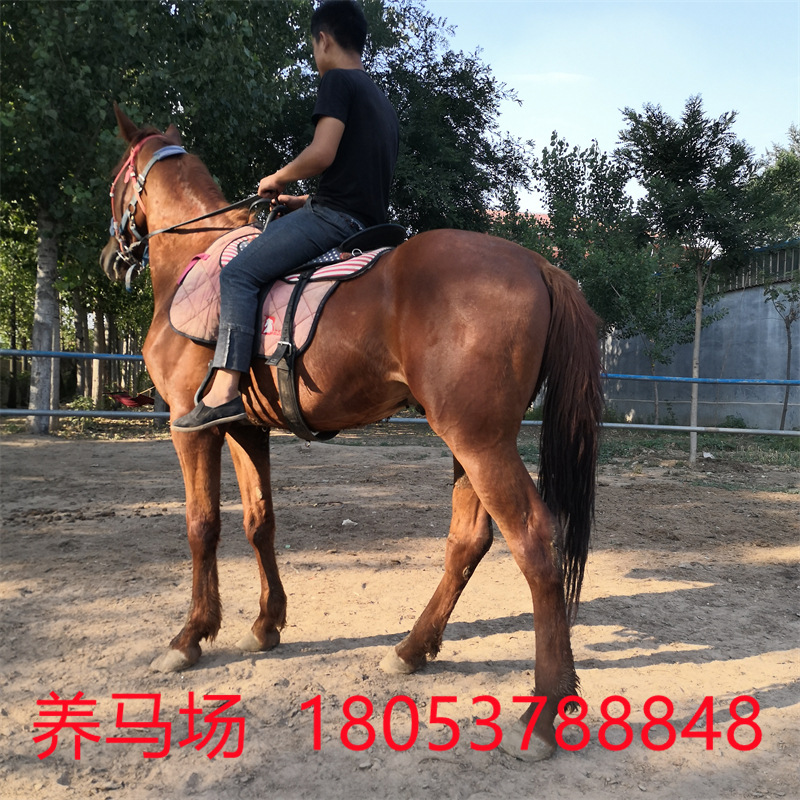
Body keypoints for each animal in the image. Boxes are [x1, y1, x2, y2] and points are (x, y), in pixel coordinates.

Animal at [100, 105, 604, 761]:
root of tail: (538, 263)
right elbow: (259, 521)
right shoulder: (245, 430)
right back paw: (413, 650)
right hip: (471, 442)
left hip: (479, 442)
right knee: (469, 541)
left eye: (113, 180)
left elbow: (201, 526)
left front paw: (190, 637)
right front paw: (266, 625)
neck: (197, 254)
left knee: (534, 542)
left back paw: (543, 712)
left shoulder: (192, 429)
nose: (111, 254)